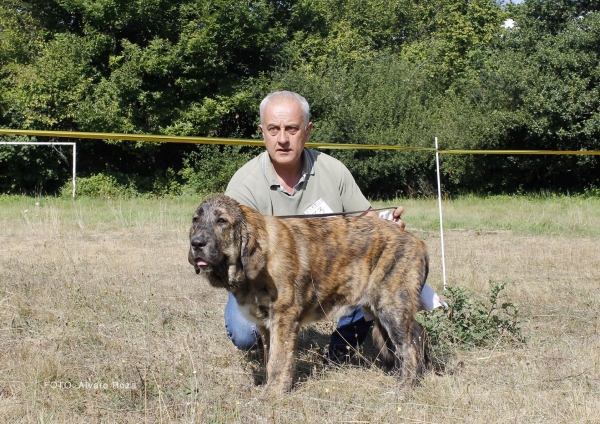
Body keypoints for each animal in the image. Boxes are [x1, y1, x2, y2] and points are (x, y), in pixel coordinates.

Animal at [188, 195, 426, 394]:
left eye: (222, 221)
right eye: (195, 220)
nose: (196, 243)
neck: (261, 256)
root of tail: (418, 241)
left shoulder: (284, 319)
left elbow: (278, 360)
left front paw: (273, 393)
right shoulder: (266, 325)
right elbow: (269, 358)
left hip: (392, 307)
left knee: (409, 347)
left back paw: (404, 386)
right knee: (417, 333)